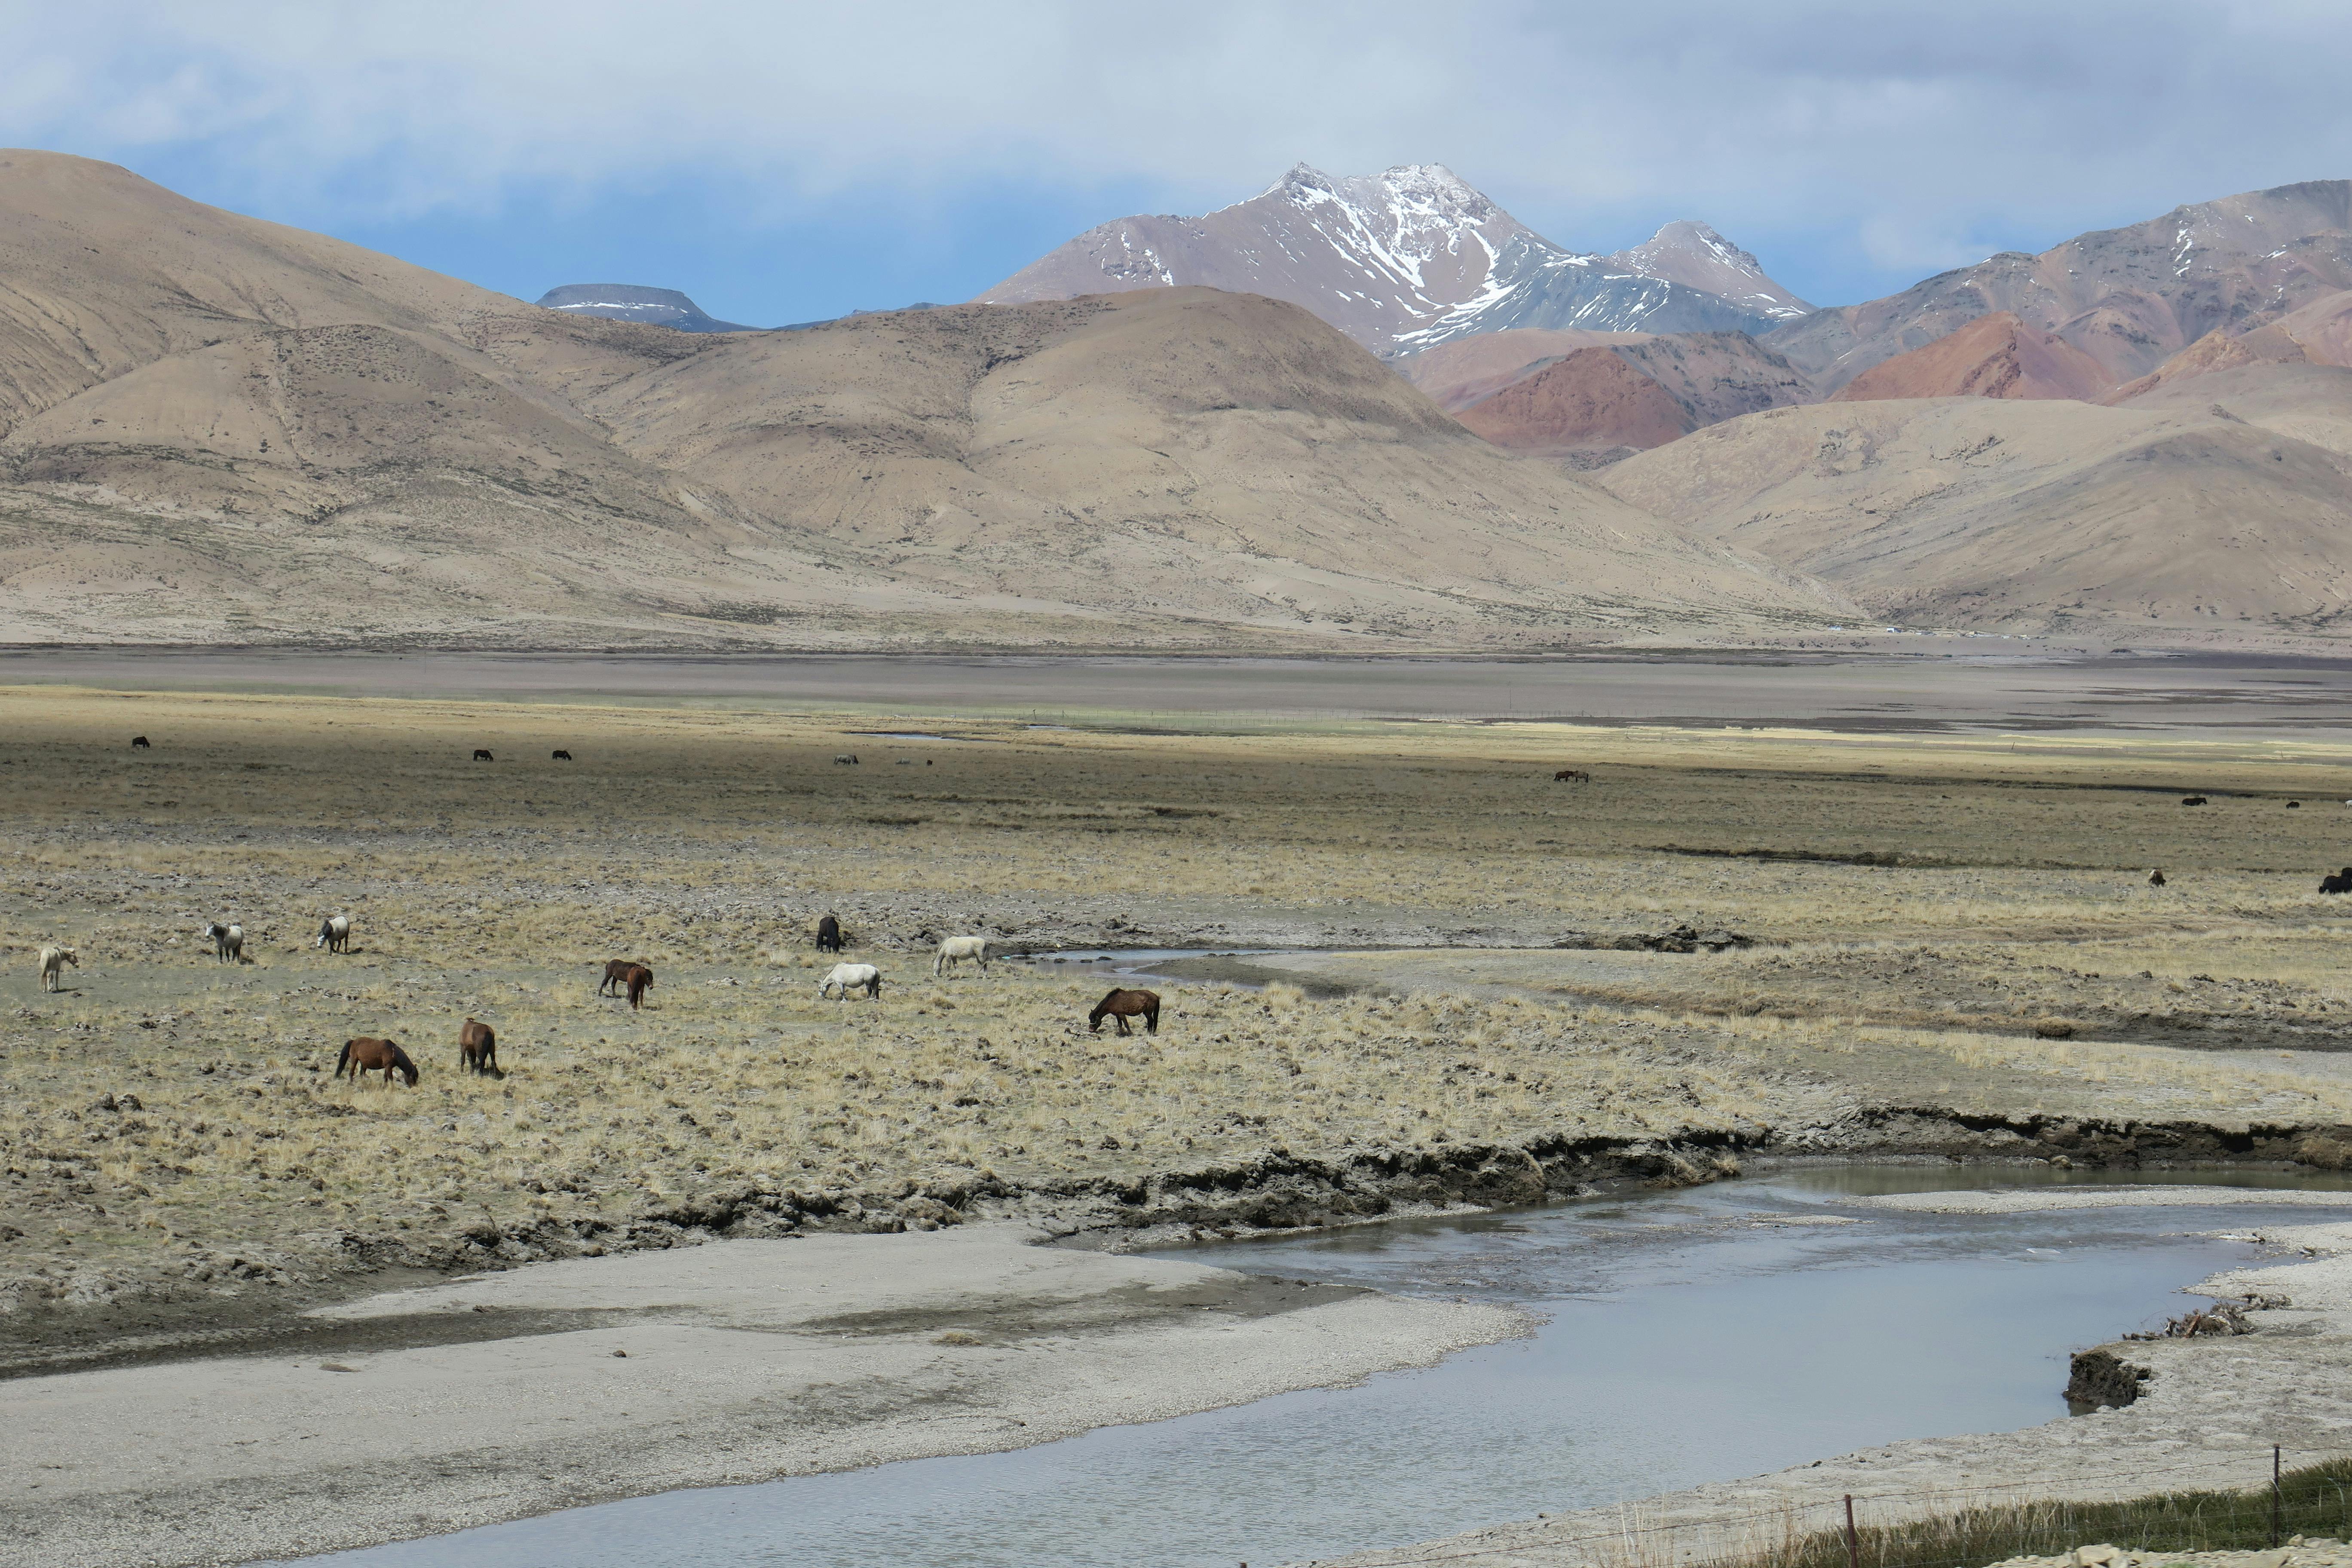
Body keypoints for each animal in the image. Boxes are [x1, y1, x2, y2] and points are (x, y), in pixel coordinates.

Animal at [335, 1037, 418, 1087]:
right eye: (412, 1076)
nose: (413, 1087)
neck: (393, 1051)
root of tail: (353, 1041)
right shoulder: (388, 1067)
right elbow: (390, 1078)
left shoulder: (388, 1067)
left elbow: (386, 1077)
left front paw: (384, 1086)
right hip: (355, 1060)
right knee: (351, 1072)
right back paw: (351, 1083)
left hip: (364, 1064)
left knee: (362, 1074)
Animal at [459, 1018, 502, 1077]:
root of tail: (488, 1032)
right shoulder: (472, 1051)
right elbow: (472, 1061)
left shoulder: (463, 1047)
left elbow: (463, 1060)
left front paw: (462, 1072)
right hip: (492, 1050)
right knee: (493, 1062)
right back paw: (495, 1074)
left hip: (480, 1052)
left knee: (482, 1062)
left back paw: (481, 1075)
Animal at [821, 962, 882, 1000]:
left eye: (819, 987)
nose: (820, 996)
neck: (835, 972)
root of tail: (876, 970)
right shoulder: (843, 985)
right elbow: (843, 991)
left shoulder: (840, 984)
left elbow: (842, 992)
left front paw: (844, 1001)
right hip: (874, 983)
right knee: (876, 990)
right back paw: (877, 999)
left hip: (868, 984)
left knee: (870, 991)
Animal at [934, 935, 990, 977]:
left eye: (934, 967)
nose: (935, 975)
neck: (947, 945)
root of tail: (985, 942)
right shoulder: (954, 957)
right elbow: (956, 966)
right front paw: (957, 973)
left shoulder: (949, 957)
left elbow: (948, 966)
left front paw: (947, 974)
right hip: (978, 957)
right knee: (981, 965)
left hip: (980, 957)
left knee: (984, 964)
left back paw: (981, 976)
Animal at [1089, 987, 1160, 1036]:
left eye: (1094, 1020)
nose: (1090, 1030)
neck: (1113, 1001)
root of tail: (1156, 996)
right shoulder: (1117, 1015)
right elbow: (1120, 1024)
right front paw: (1121, 1033)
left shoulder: (1121, 1014)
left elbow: (1126, 1024)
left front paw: (1130, 1034)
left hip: (1148, 1012)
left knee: (1151, 1021)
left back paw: (1149, 1033)